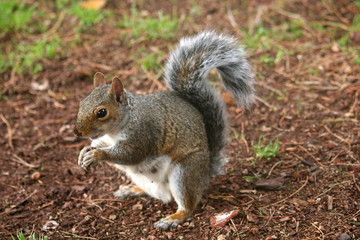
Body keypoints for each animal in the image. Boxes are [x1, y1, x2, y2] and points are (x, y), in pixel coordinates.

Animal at [73, 31, 255, 230]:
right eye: (82, 102)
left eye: (102, 112)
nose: (77, 132)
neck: (117, 128)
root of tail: (206, 173)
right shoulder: (106, 139)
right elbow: (98, 142)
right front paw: (84, 152)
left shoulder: (142, 132)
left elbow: (130, 155)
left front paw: (97, 155)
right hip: (140, 177)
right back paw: (131, 190)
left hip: (184, 172)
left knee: (188, 204)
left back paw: (173, 218)